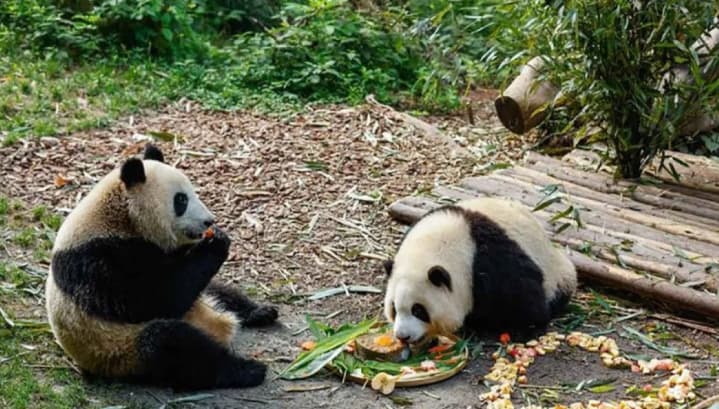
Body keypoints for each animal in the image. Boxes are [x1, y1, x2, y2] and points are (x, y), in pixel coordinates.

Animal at [45, 144, 278, 390]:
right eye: (181, 200)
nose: (209, 221)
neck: (119, 218)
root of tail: (221, 324)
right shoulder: (96, 261)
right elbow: (157, 298)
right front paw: (216, 242)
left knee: (219, 291)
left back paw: (259, 312)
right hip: (120, 350)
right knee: (172, 345)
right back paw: (247, 370)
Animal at [383, 197, 576, 343]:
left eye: (418, 310)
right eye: (394, 308)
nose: (402, 336)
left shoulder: (489, 259)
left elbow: (522, 291)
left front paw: (527, 328)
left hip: (557, 271)